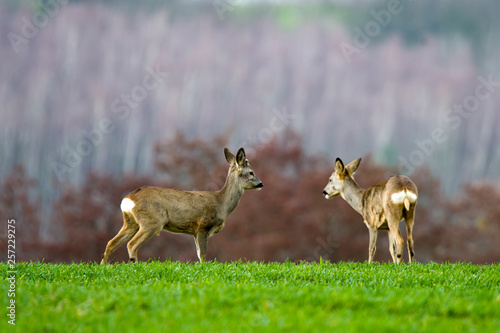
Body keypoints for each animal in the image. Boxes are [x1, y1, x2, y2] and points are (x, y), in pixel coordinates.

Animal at [102, 147, 266, 264]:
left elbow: (199, 254)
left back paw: (105, 266)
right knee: (131, 244)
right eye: (251, 172)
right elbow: (203, 255)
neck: (221, 204)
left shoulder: (194, 232)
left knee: (111, 243)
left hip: (131, 222)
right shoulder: (203, 226)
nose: (261, 184)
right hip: (152, 220)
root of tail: (127, 199)